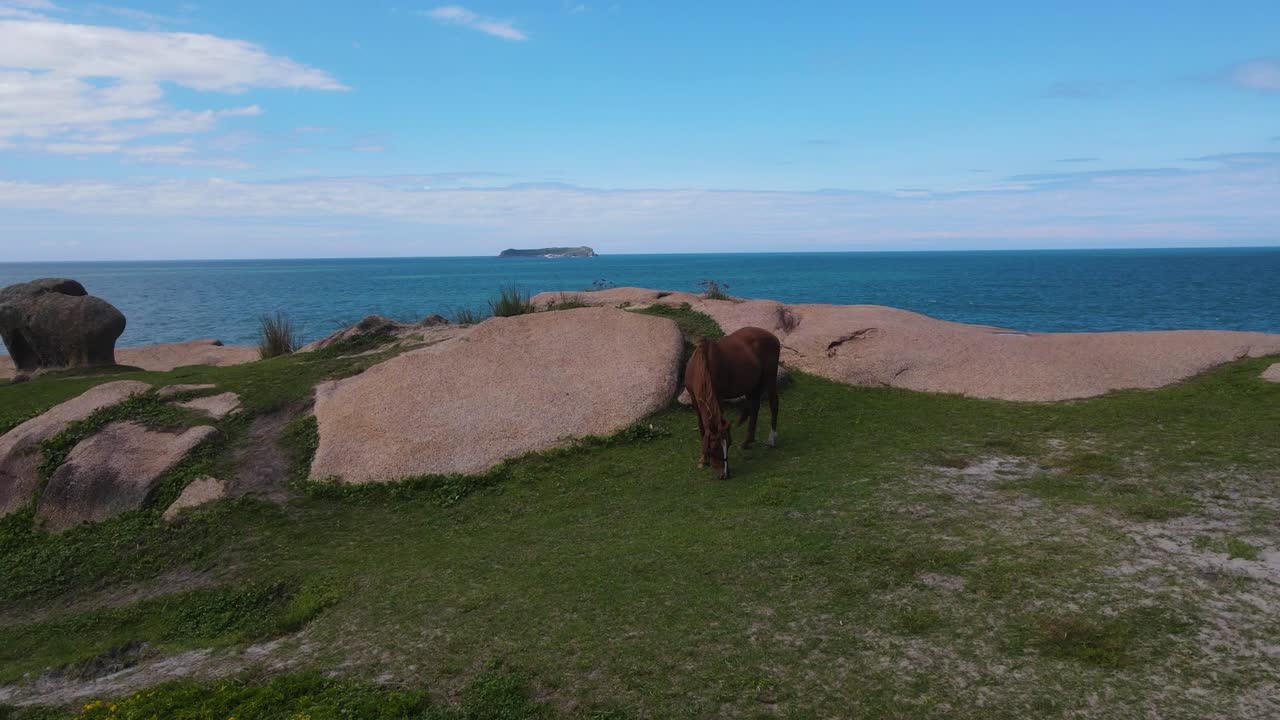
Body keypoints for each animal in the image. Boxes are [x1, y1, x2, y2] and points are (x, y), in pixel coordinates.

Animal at [684, 326, 781, 479]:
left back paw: (771, 440)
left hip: (769, 377)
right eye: (715, 447)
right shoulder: (694, 398)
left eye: (729, 444)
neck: (702, 364)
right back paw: (747, 442)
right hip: (752, 385)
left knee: (774, 403)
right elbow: (701, 426)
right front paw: (703, 460)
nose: (725, 474)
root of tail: (772, 336)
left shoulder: (718, 397)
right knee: (755, 406)